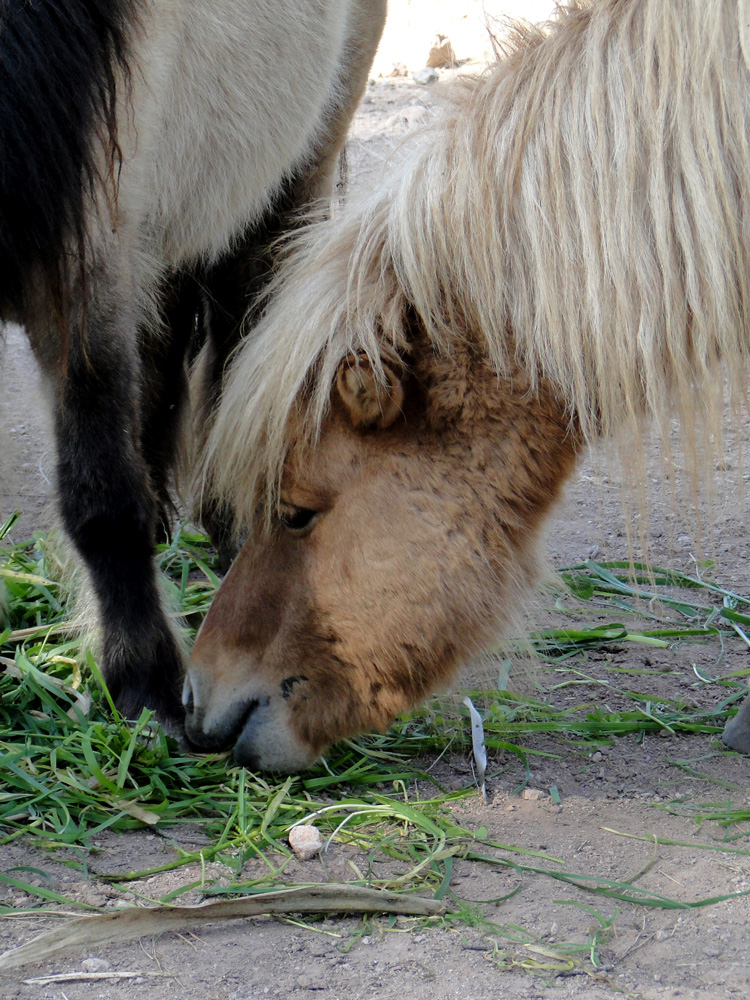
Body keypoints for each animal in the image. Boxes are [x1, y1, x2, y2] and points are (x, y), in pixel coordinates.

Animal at [0, 0, 388, 724]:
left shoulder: (84, 269)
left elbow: (100, 492)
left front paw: (144, 680)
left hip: (295, 168)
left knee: (244, 321)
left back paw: (236, 526)